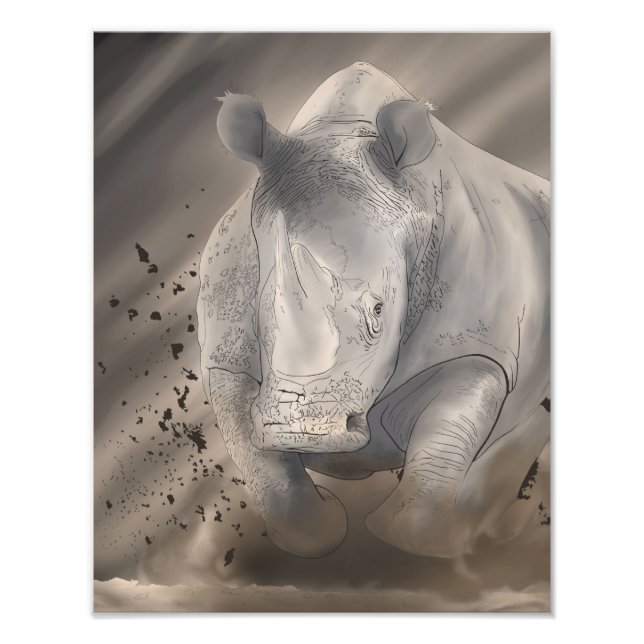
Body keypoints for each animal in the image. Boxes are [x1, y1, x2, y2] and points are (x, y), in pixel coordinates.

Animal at [197, 62, 550, 558]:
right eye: (260, 316)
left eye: (381, 312)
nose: (304, 432)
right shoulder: (227, 353)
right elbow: (264, 465)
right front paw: (323, 522)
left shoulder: (479, 345)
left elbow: (446, 440)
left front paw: (427, 541)